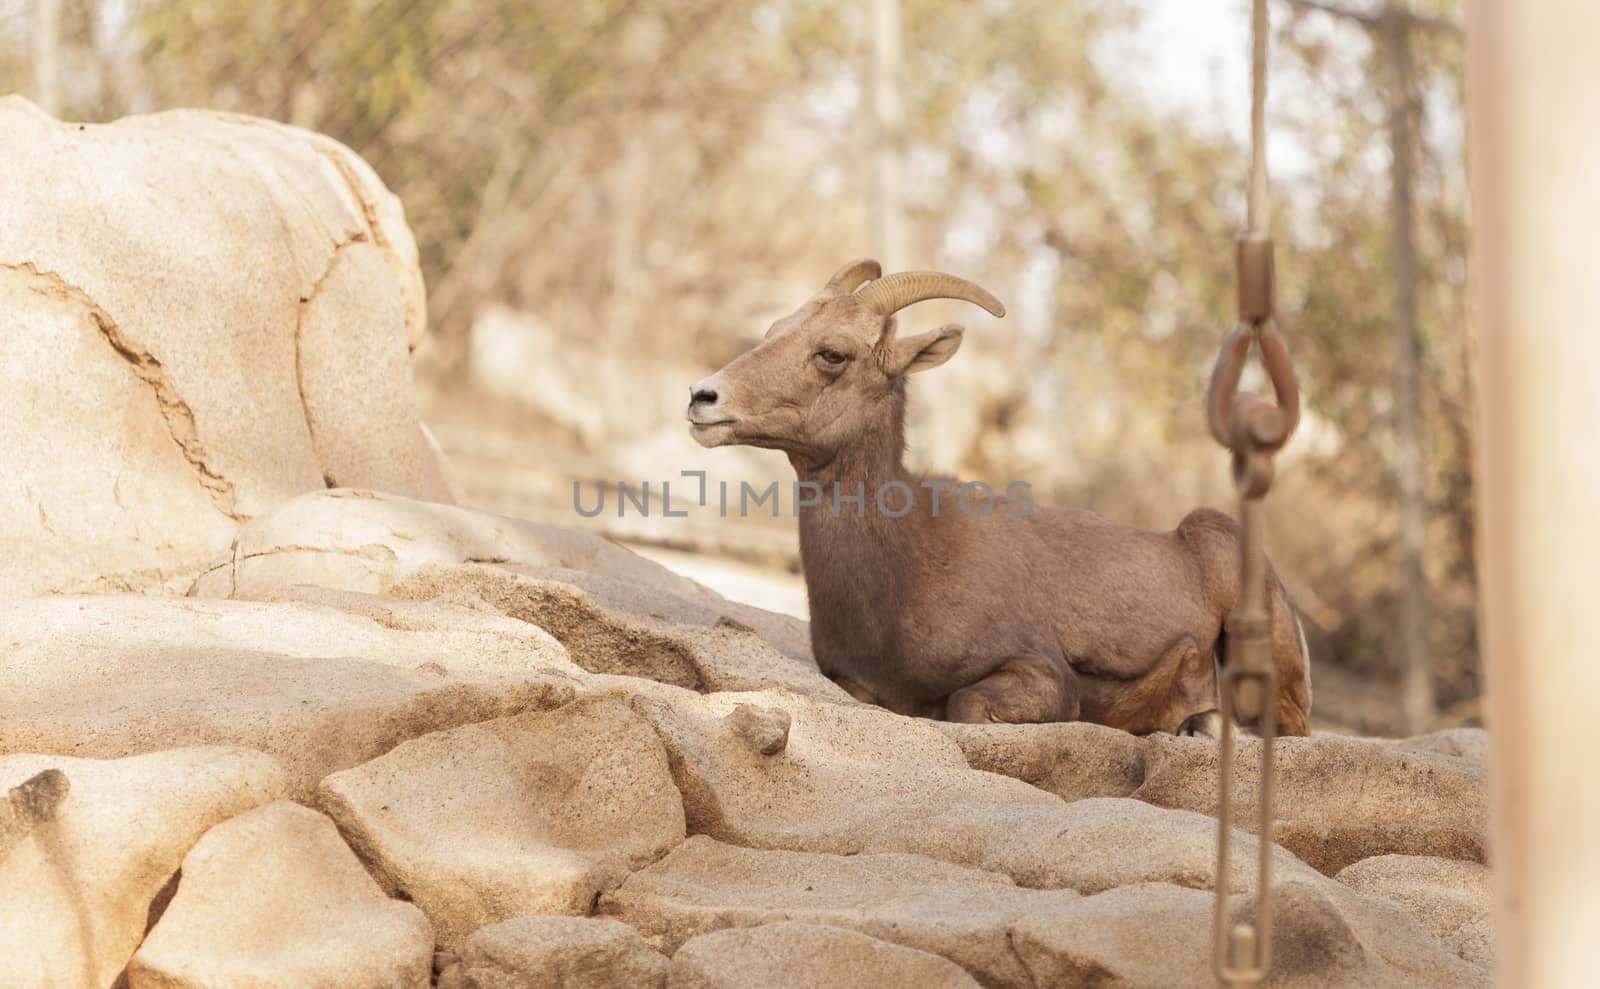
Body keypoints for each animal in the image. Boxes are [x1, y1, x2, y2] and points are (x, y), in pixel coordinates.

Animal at [688, 257, 1312, 736]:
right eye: (773, 331)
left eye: (832, 354)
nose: (702, 397)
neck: (905, 566)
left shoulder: (1040, 675)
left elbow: (964, 705)